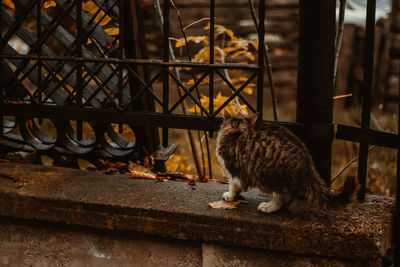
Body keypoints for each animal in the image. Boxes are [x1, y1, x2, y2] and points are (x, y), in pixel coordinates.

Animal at [217, 112, 358, 215]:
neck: (238, 132)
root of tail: (307, 167)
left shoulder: (236, 168)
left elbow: (234, 183)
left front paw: (230, 195)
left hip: (265, 175)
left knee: (282, 197)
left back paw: (269, 207)